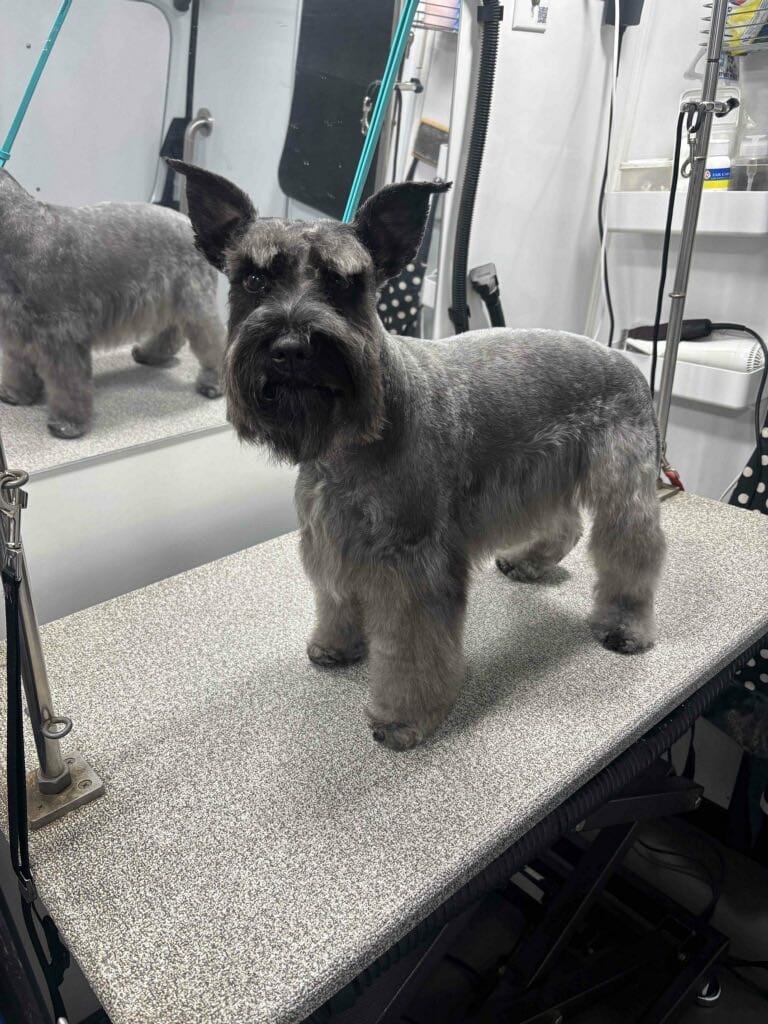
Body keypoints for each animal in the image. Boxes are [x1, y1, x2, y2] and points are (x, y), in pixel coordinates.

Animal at [0, 168, 225, 438]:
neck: (22, 231)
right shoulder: (16, 329)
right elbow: (17, 365)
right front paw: (17, 393)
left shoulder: (61, 337)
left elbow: (68, 382)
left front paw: (68, 422)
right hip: (170, 300)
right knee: (171, 331)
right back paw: (151, 354)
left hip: (195, 302)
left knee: (213, 342)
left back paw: (214, 382)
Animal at [171, 159, 666, 752]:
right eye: (252, 280)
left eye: (344, 283)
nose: (291, 349)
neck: (357, 434)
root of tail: (620, 357)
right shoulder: (330, 537)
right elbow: (336, 598)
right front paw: (336, 644)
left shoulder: (414, 561)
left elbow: (413, 650)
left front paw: (404, 718)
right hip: (543, 473)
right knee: (564, 522)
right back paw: (528, 559)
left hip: (623, 486)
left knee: (632, 552)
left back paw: (626, 626)